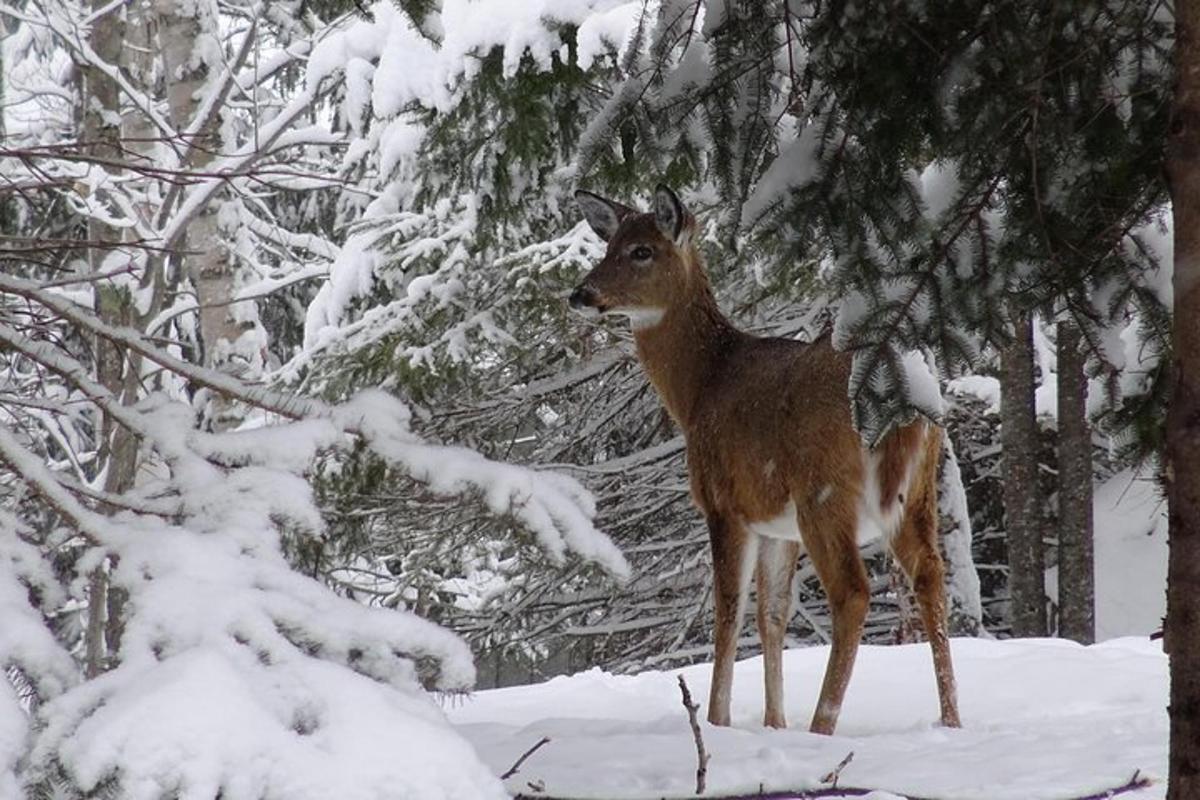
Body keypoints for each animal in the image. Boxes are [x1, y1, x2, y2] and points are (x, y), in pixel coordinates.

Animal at [568, 185, 961, 735]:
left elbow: (728, 612)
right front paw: (775, 723)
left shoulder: (723, 502)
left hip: (823, 489)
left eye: (642, 250)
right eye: (608, 246)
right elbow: (771, 614)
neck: (700, 388)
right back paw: (951, 721)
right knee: (930, 575)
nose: (581, 295)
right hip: (918, 489)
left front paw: (717, 720)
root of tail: (903, 395)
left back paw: (823, 726)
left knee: (853, 592)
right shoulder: (777, 523)